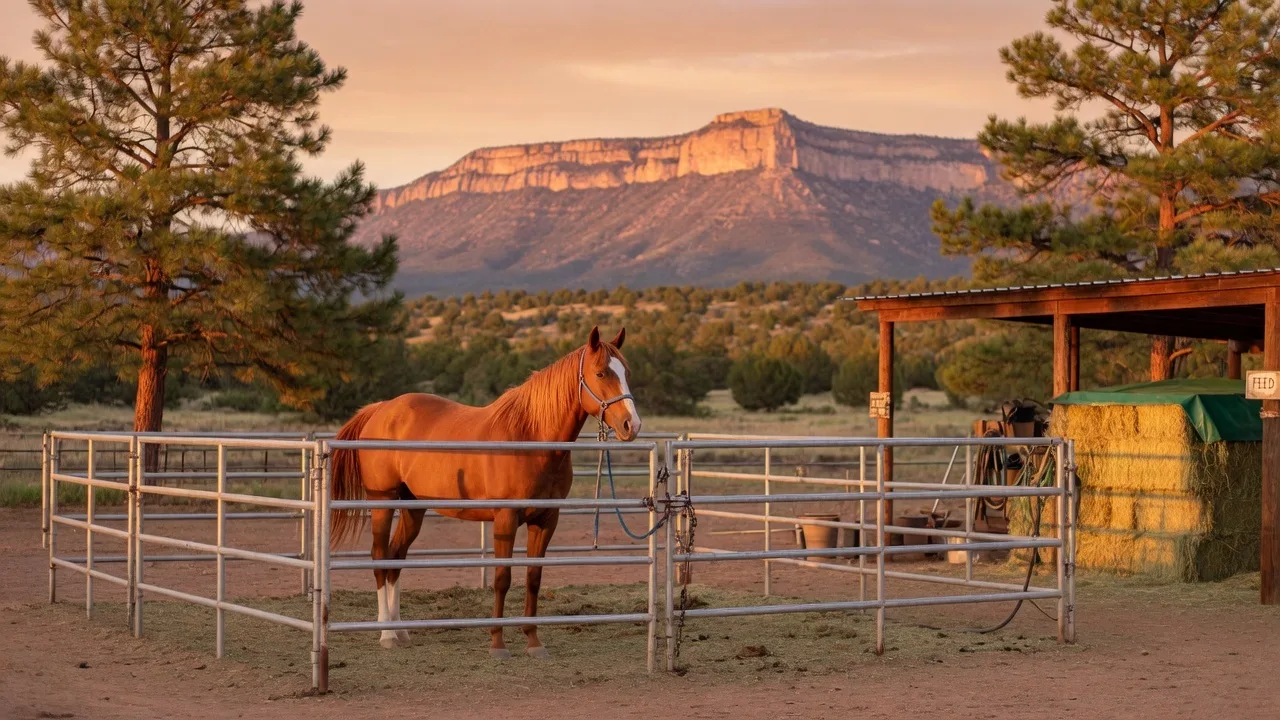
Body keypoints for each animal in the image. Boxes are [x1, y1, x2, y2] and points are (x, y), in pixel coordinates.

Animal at [328, 326, 641, 658]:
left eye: (626, 372)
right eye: (600, 373)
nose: (631, 425)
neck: (530, 438)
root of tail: (380, 409)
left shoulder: (546, 520)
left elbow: (533, 578)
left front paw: (533, 642)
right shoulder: (505, 519)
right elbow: (502, 578)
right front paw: (497, 643)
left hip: (413, 507)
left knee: (395, 558)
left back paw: (400, 631)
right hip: (383, 500)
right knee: (379, 557)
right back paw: (386, 634)